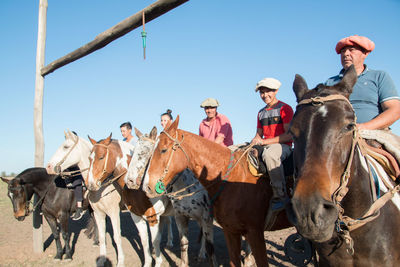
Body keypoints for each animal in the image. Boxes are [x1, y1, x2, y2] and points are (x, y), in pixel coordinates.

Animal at [45, 132, 173, 267]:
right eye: (90, 158)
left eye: (66, 146)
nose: (49, 166)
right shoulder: (99, 212)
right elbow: (103, 236)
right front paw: (101, 259)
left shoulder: (114, 212)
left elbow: (118, 237)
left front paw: (120, 261)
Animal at [140, 117, 290, 267]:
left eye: (163, 150)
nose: (146, 187)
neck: (234, 177)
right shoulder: (227, 229)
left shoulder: (253, 231)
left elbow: (211, 247)